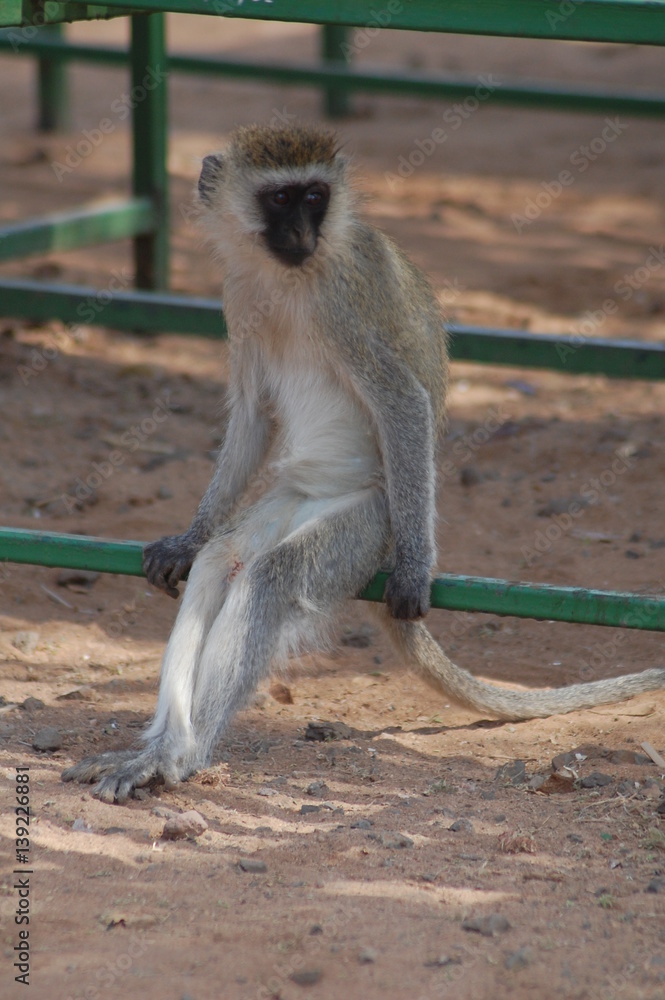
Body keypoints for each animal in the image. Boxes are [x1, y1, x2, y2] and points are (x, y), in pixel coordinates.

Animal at [62, 124, 664, 803]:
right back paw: (161, 742)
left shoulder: (345, 305)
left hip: (371, 523)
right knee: (224, 561)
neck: (291, 276)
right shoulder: (238, 295)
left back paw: (178, 757)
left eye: (316, 196)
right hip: (289, 502)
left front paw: (416, 569)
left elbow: (402, 400)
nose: (303, 233)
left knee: (272, 576)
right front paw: (187, 538)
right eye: (280, 199)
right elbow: (252, 416)